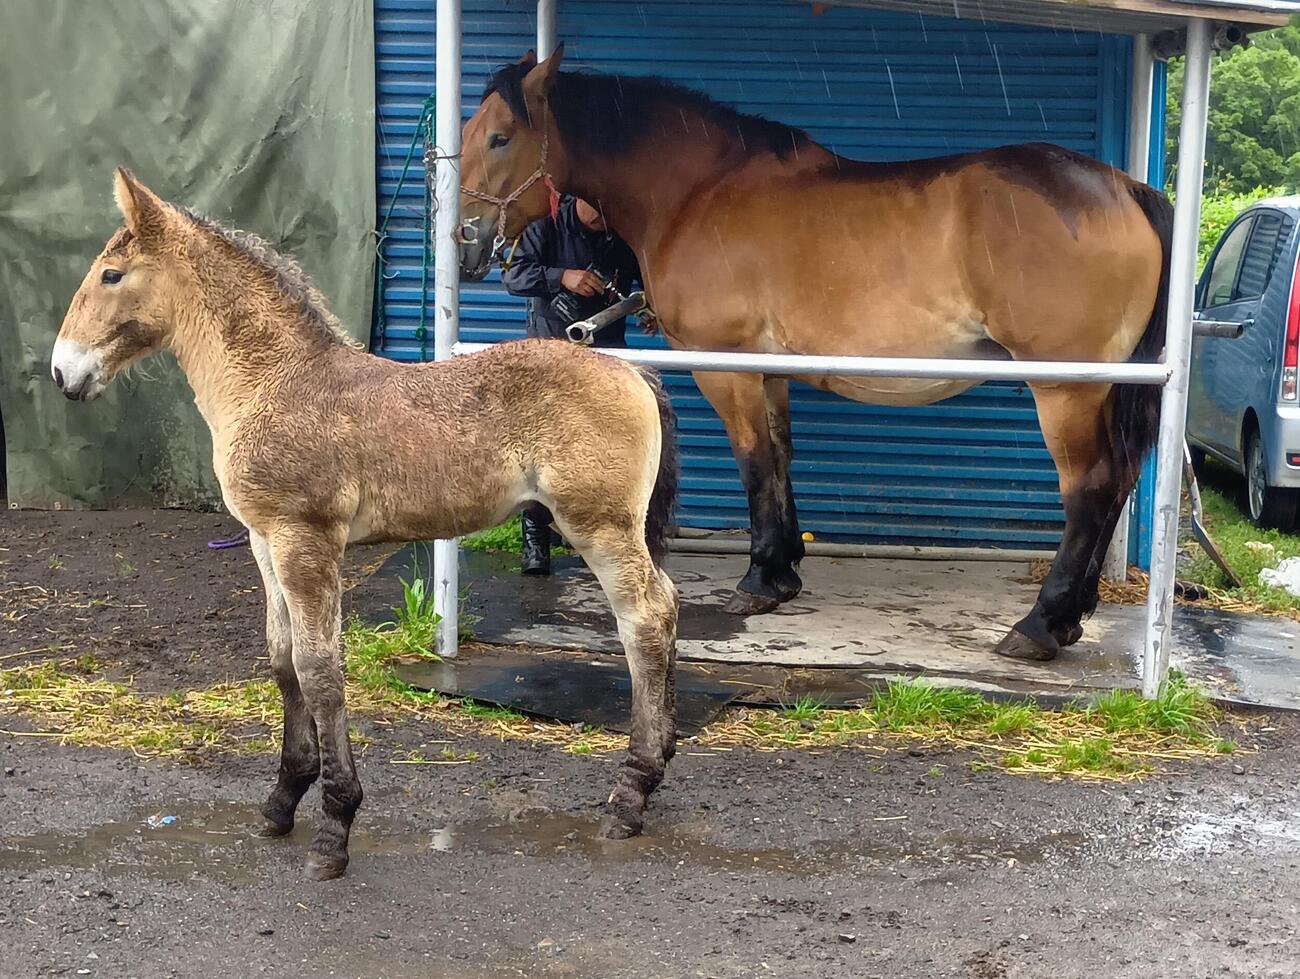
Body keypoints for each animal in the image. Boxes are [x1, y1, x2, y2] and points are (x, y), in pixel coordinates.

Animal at [51, 168, 681, 880]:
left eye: (111, 274)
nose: (62, 371)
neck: (272, 382)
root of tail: (632, 369)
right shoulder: (264, 542)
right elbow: (284, 659)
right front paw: (282, 800)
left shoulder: (306, 540)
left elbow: (321, 668)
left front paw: (334, 827)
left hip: (599, 525)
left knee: (645, 619)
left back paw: (631, 793)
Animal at [457, 47, 1173, 665]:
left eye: (500, 138)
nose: (466, 241)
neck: (697, 191)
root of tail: (1126, 190)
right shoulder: (768, 368)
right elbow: (780, 456)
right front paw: (783, 572)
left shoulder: (725, 366)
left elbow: (752, 461)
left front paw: (756, 581)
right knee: (1117, 482)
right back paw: (1075, 614)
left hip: (1066, 389)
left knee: (1090, 488)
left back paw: (1042, 625)